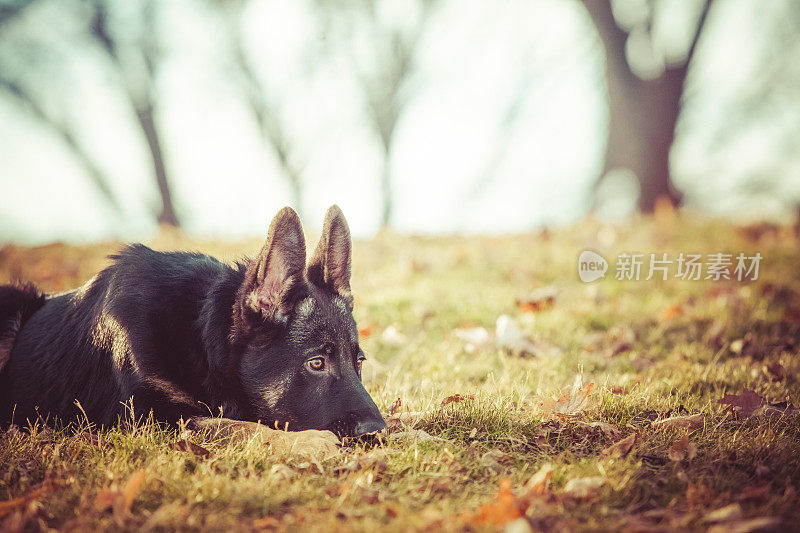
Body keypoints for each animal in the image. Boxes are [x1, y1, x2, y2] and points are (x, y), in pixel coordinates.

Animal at [0, 205, 388, 448]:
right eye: (316, 363)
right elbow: (233, 425)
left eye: (359, 362)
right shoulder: (146, 416)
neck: (200, 339)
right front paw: (306, 441)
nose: (377, 433)